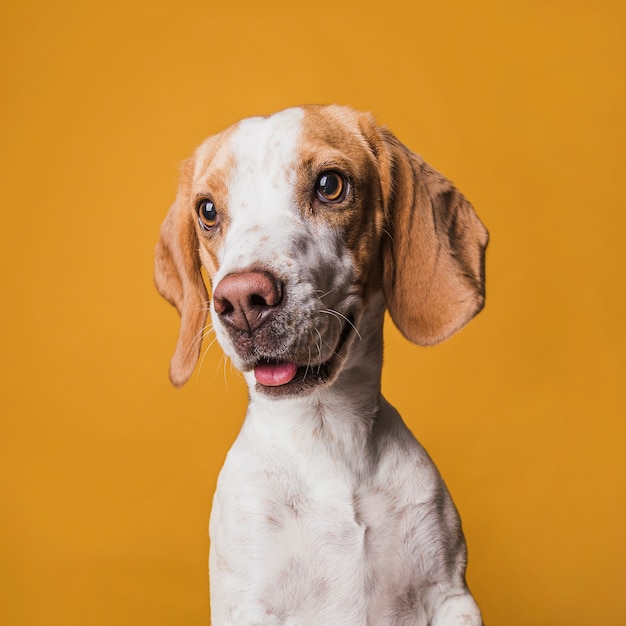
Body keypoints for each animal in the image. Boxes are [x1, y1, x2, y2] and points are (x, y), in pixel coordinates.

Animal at [154, 105, 486, 620]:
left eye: (330, 185)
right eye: (207, 211)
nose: (241, 300)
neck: (327, 435)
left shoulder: (451, 597)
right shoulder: (249, 605)